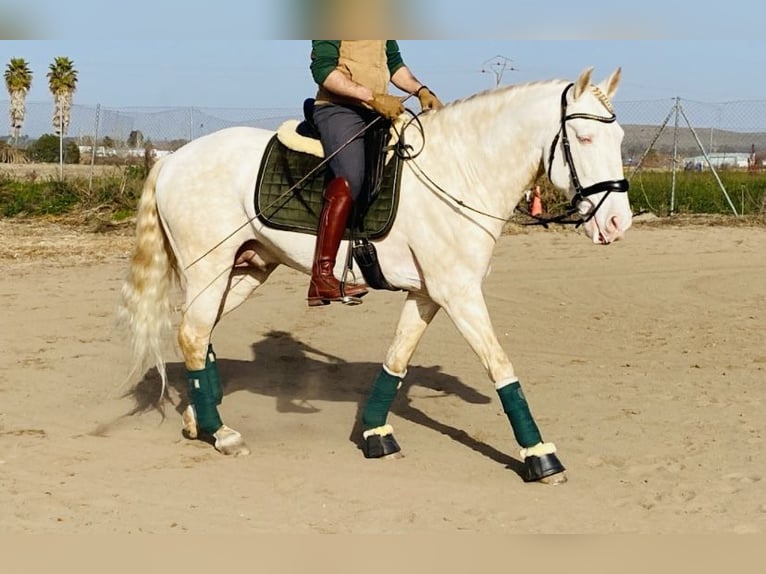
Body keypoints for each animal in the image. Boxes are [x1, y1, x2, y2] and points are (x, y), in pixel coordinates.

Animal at [120, 65, 632, 484]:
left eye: (621, 138)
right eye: (584, 140)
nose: (617, 223)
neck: (461, 171)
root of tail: (172, 159)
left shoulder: (428, 295)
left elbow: (397, 360)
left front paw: (375, 433)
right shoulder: (460, 293)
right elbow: (500, 365)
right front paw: (540, 455)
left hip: (247, 269)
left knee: (197, 331)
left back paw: (197, 419)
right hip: (209, 267)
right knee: (192, 332)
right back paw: (221, 433)